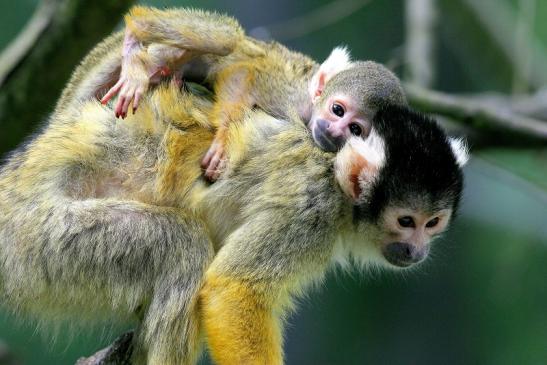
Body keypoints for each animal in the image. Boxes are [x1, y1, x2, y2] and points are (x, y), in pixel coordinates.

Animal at [97, 6, 406, 180]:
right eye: (337, 110)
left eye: (354, 130)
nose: (333, 130)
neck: (309, 108)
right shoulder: (292, 97)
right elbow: (243, 73)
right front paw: (224, 138)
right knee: (226, 40)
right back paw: (137, 32)